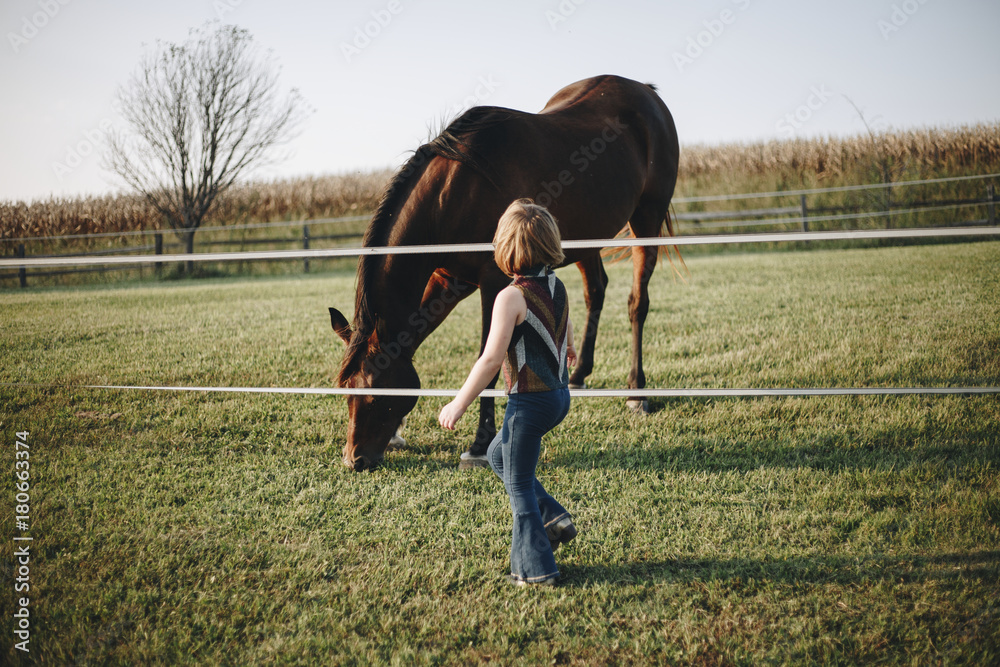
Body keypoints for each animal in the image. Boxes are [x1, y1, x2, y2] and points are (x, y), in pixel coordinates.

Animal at [328, 75, 680, 472]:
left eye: (376, 395)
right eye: (346, 389)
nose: (355, 459)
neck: (455, 190)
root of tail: (646, 92)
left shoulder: (494, 284)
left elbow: (489, 358)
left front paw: (480, 444)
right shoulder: (447, 280)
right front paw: (400, 433)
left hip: (647, 219)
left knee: (637, 303)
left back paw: (637, 391)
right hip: (587, 237)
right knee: (596, 291)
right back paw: (578, 376)